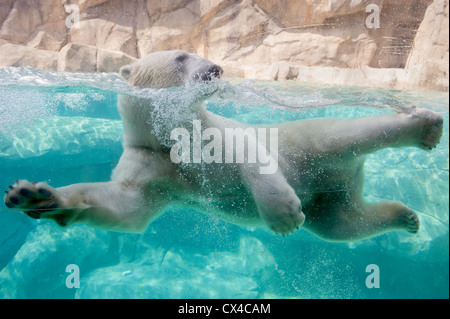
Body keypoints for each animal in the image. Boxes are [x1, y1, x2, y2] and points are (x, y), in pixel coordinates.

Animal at [3, 50, 444, 242]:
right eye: (181, 56)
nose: (216, 68)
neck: (172, 135)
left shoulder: (216, 130)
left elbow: (250, 155)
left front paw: (283, 215)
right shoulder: (152, 163)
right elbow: (126, 206)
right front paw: (33, 196)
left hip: (303, 139)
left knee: (343, 134)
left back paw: (425, 126)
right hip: (327, 197)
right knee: (343, 222)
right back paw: (406, 216)